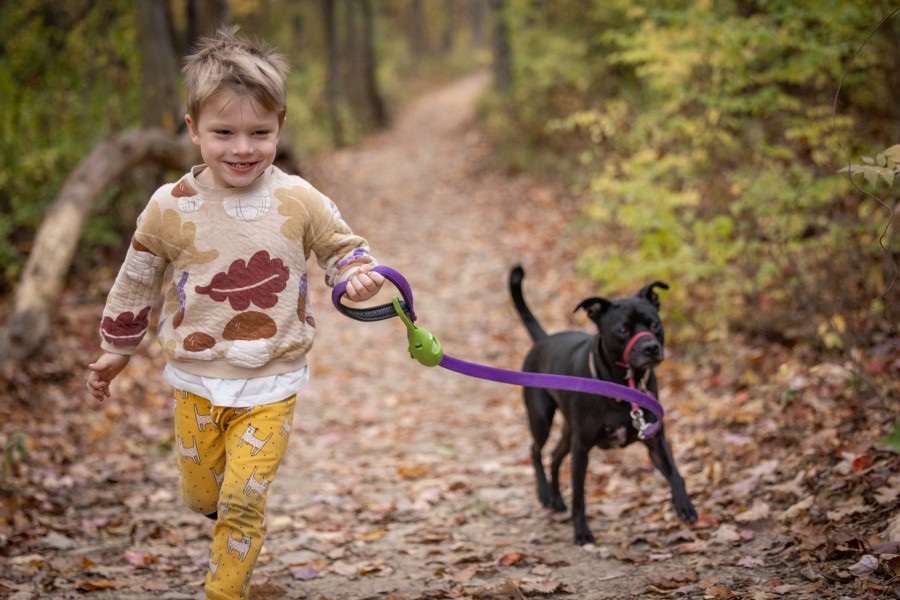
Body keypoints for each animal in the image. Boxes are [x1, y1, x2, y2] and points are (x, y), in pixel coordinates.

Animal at [506, 266, 696, 544]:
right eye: (622, 330)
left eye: (654, 324)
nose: (651, 347)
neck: (623, 384)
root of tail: (543, 340)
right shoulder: (582, 449)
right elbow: (579, 497)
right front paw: (582, 532)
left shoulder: (655, 440)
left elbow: (675, 473)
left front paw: (684, 505)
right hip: (541, 418)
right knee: (536, 450)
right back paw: (544, 493)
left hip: (569, 431)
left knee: (555, 455)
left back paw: (556, 497)